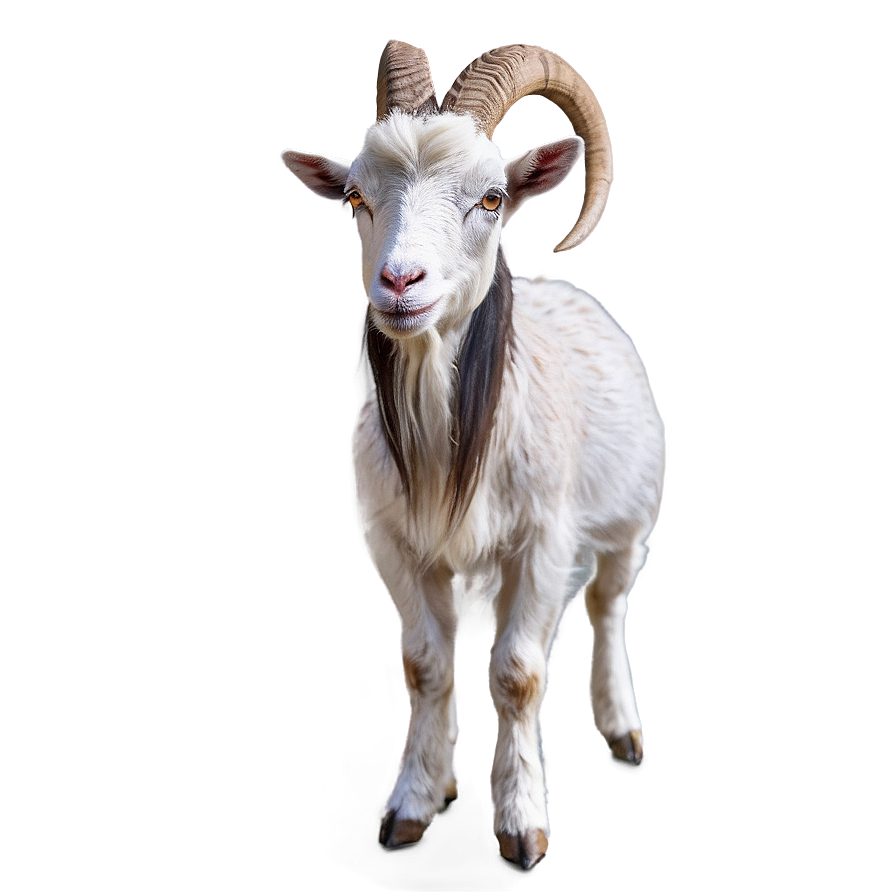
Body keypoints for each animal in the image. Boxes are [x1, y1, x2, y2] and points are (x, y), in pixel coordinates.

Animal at [281, 42, 663, 871]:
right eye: (354, 197)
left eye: (492, 197)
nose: (400, 281)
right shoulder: (393, 540)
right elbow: (424, 663)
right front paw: (414, 802)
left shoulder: (545, 539)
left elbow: (518, 674)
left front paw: (522, 827)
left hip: (629, 516)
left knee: (610, 602)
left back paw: (621, 729)